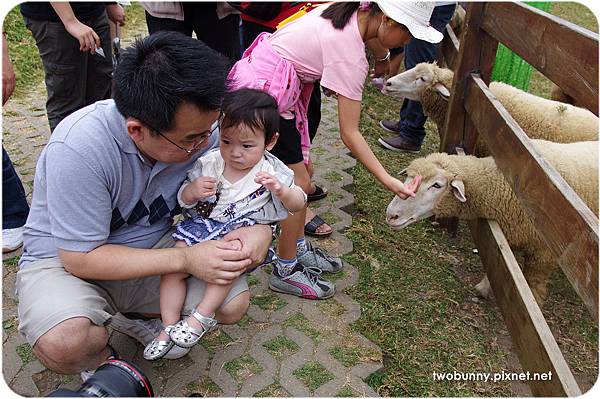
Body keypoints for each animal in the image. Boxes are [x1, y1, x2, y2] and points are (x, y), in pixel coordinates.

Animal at [386, 139, 596, 304]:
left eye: (437, 185)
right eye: (409, 177)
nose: (391, 215)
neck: (509, 185)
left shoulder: (543, 252)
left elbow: (534, 281)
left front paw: (534, 301)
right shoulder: (507, 235)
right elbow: (498, 265)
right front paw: (485, 287)